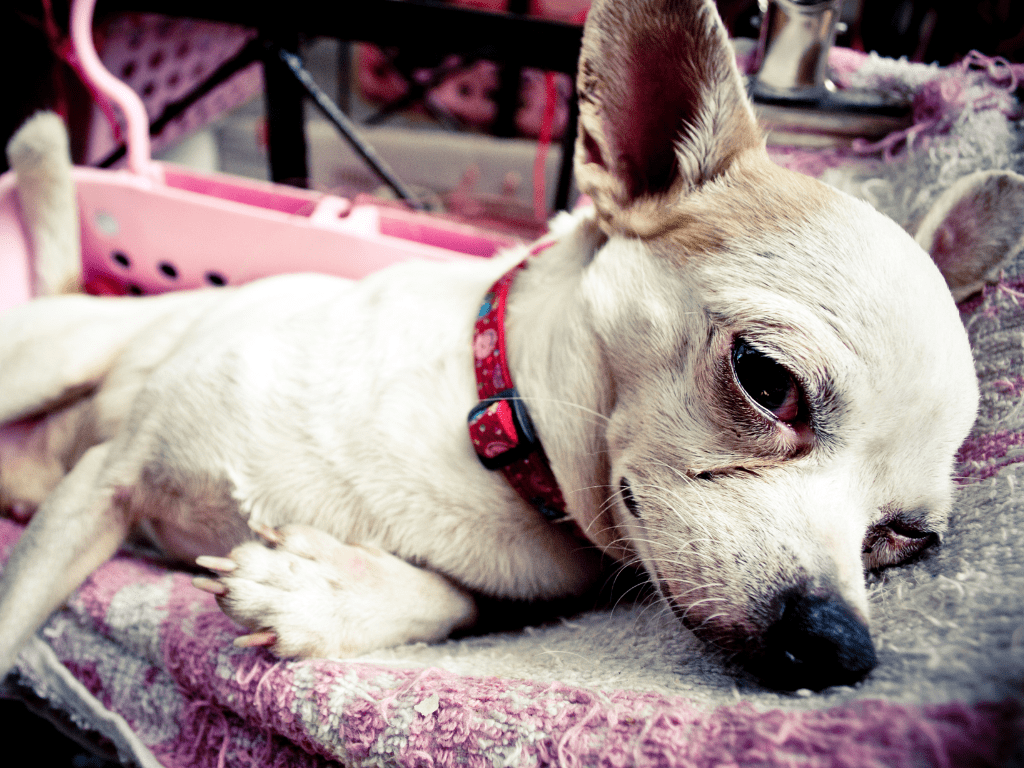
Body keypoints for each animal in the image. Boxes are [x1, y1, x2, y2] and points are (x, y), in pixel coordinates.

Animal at [0, 0, 1011, 696]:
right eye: (767, 380)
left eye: (906, 539)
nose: (843, 649)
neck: (493, 440)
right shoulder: (112, 478)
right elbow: (15, 616)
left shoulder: (507, 595)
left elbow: (453, 601)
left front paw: (327, 592)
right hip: (55, 366)